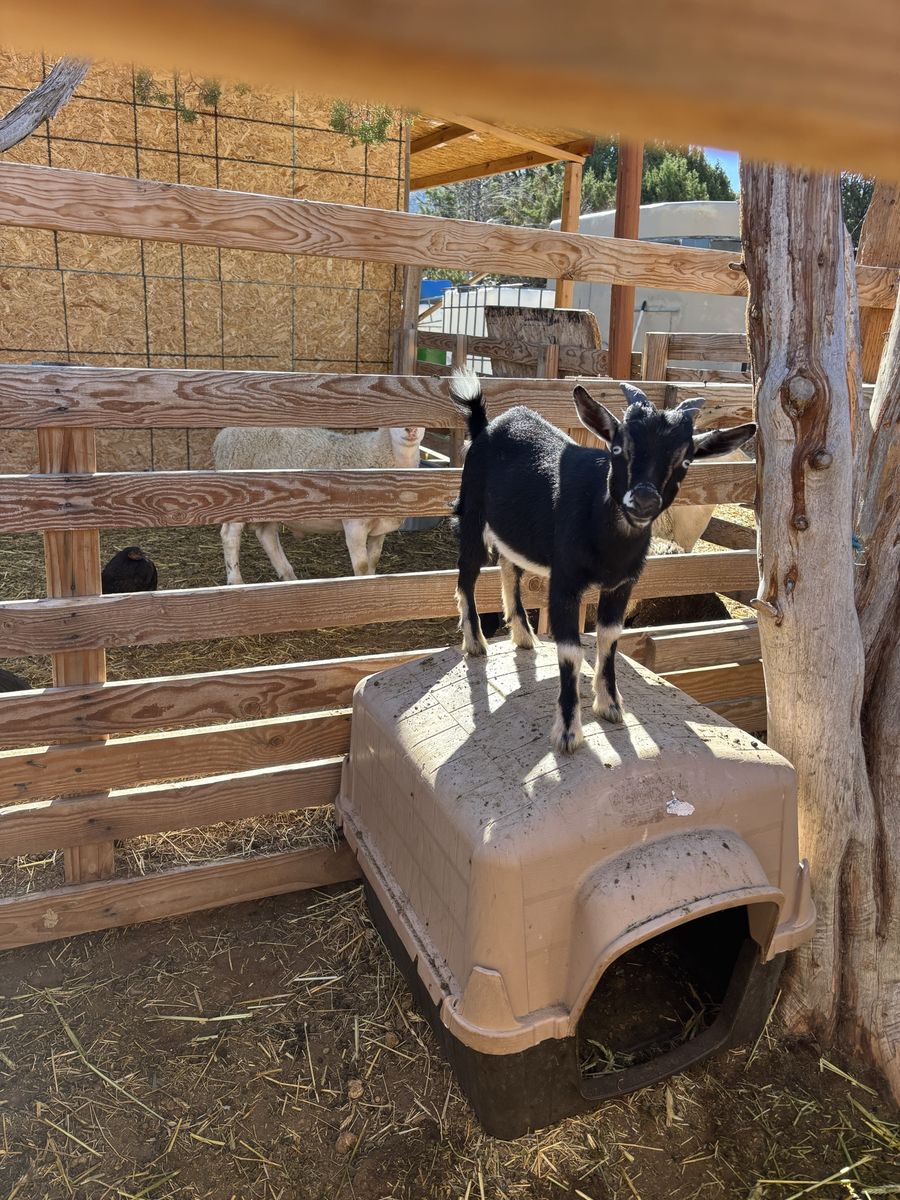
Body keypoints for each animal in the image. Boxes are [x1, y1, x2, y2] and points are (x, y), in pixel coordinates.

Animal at [212, 425, 425, 584]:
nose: (411, 428)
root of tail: (223, 434)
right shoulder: (354, 524)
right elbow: (362, 566)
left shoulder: (379, 528)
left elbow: (373, 562)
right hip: (239, 496)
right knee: (230, 535)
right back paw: (236, 581)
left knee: (267, 535)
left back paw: (289, 576)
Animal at [449, 368, 756, 753]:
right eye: (618, 447)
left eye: (685, 460)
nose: (643, 500)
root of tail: (485, 425)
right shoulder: (564, 583)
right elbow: (570, 652)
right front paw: (568, 731)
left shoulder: (623, 584)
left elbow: (609, 638)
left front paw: (610, 704)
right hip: (472, 514)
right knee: (466, 574)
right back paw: (475, 642)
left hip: (514, 530)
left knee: (509, 567)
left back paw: (522, 634)